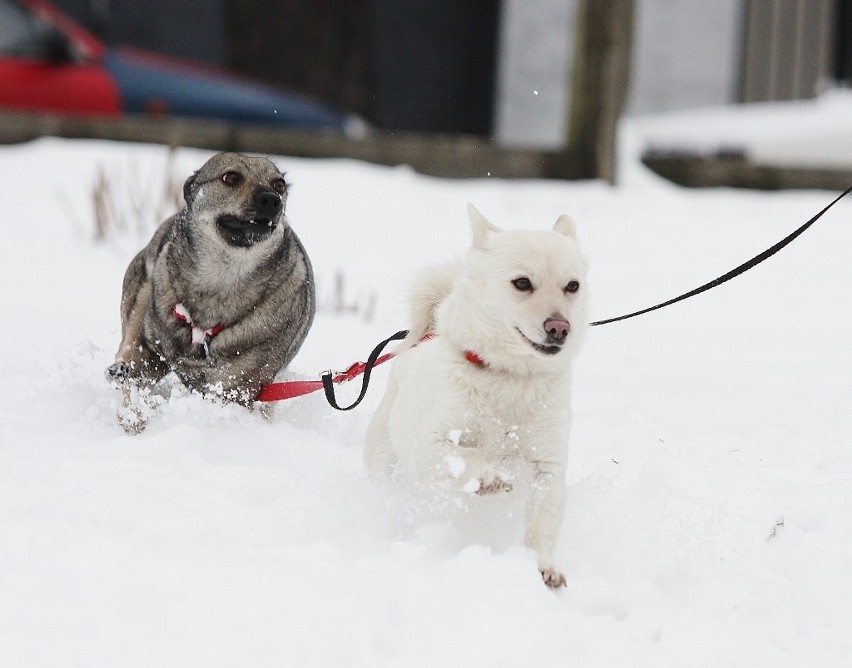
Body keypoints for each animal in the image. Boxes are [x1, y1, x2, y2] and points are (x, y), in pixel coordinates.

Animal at [362, 205, 588, 588]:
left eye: (572, 286)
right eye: (522, 283)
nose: (560, 328)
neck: (511, 377)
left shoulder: (549, 467)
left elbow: (542, 524)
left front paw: (541, 566)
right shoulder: (431, 444)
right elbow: (468, 454)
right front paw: (488, 478)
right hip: (384, 460)